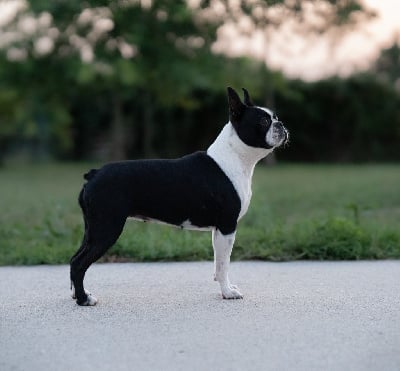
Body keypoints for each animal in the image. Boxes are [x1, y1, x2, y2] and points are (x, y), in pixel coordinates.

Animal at [69, 87, 288, 306]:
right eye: (263, 122)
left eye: (276, 117)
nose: (281, 125)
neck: (235, 157)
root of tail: (94, 173)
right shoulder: (227, 226)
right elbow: (224, 263)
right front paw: (227, 292)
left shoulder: (218, 230)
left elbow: (218, 262)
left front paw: (225, 286)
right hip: (106, 229)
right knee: (79, 263)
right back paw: (83, 299)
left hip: (93, 229)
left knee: (74, 259)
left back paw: (78, 294)